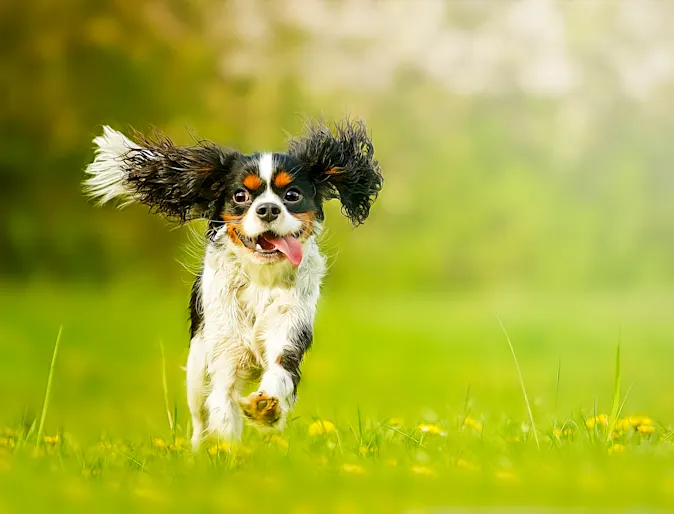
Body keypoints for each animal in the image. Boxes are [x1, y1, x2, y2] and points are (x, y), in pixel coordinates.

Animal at [81, 118, 380, 446]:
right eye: (240, 196)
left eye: (292, 195)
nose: (268, 209)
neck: (261, 275)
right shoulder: (225, 353)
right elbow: (223, 408)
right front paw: (226, 453)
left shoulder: (289, 329)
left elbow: (279, 370)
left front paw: (266, 408)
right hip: (197, 369)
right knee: (200, 418)